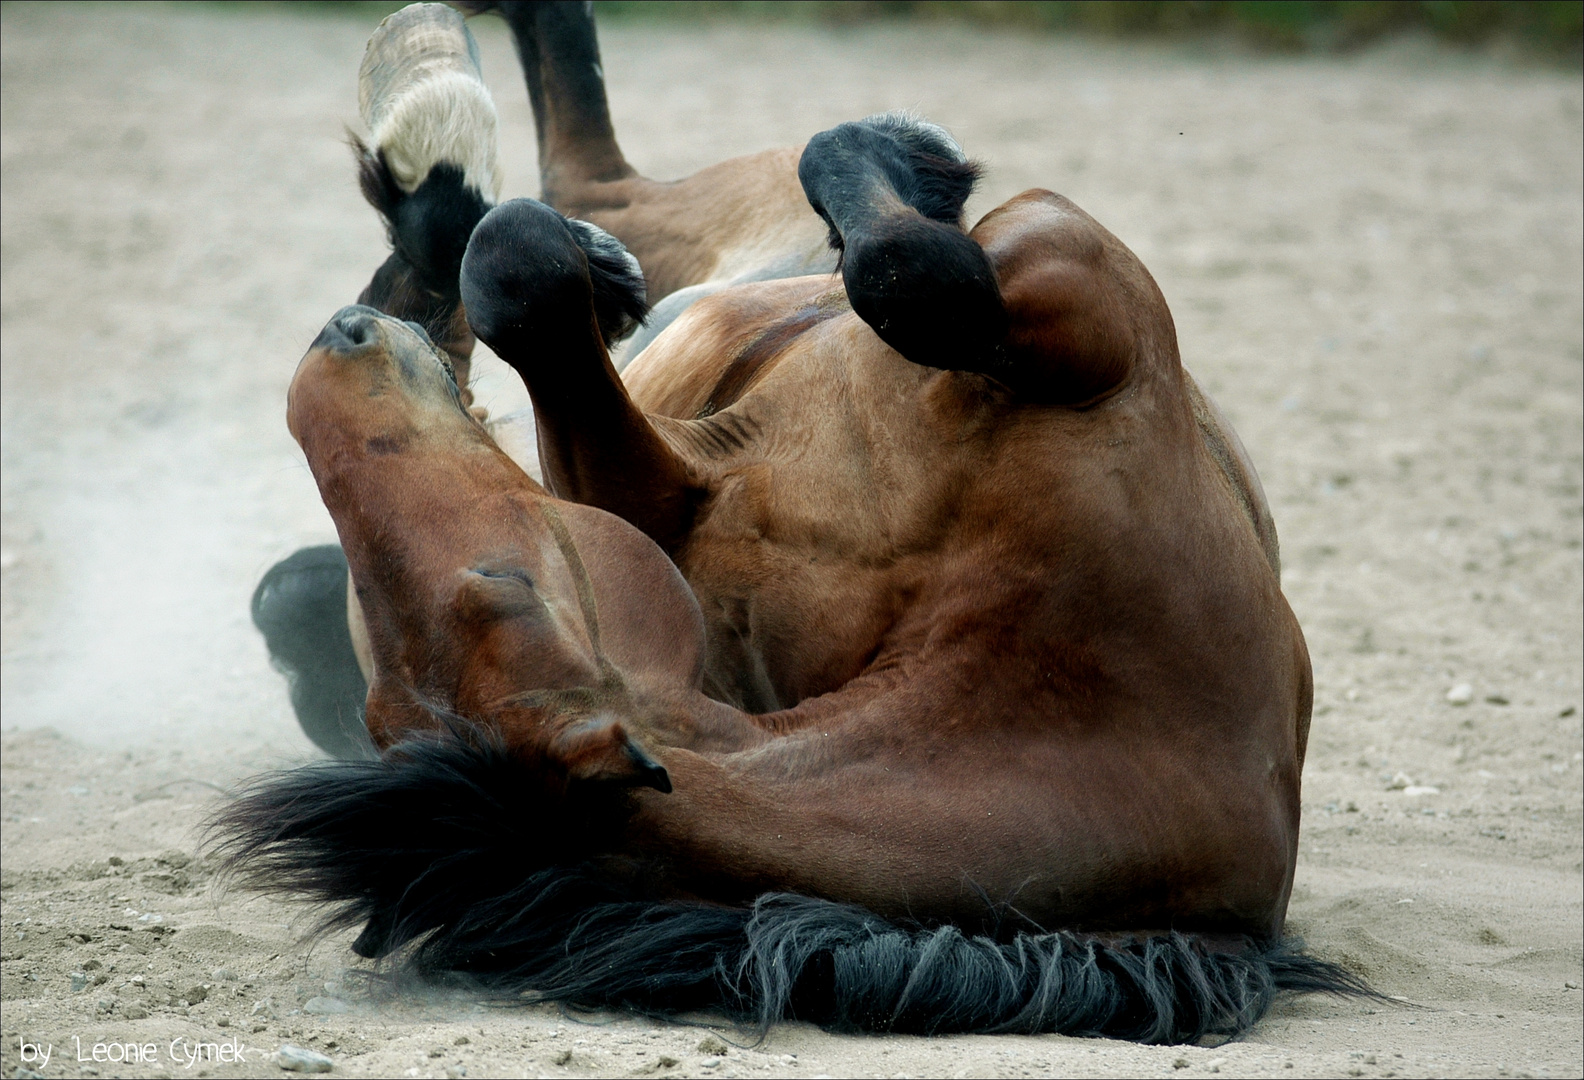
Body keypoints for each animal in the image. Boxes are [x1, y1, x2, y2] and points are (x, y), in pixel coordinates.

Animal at [226, 2, 1374, 1045]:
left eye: (505, 582)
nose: (332, 358)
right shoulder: (1067, 285)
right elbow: (896, 268)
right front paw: (915, 159)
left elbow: (877, 273)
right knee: (569, 196)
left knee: (562, 207)